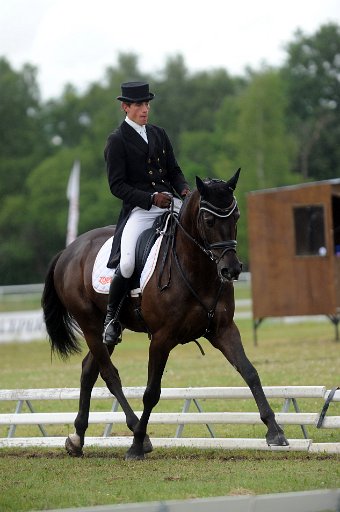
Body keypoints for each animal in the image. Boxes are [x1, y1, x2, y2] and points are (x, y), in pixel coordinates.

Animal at [41, 169, 288, 460]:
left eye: (236, 216)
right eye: (208, 220)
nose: (232, 269)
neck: (196, 270)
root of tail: (68, 250)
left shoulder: (224, 330)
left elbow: (249, 372)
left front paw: (275, 431)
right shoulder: (161, 339)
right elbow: (151, 392)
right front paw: (136, 445)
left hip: (105, 332)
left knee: (89, 370)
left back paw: (77, 438)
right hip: (90, 325)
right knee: (110, 375)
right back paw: (135, 431)